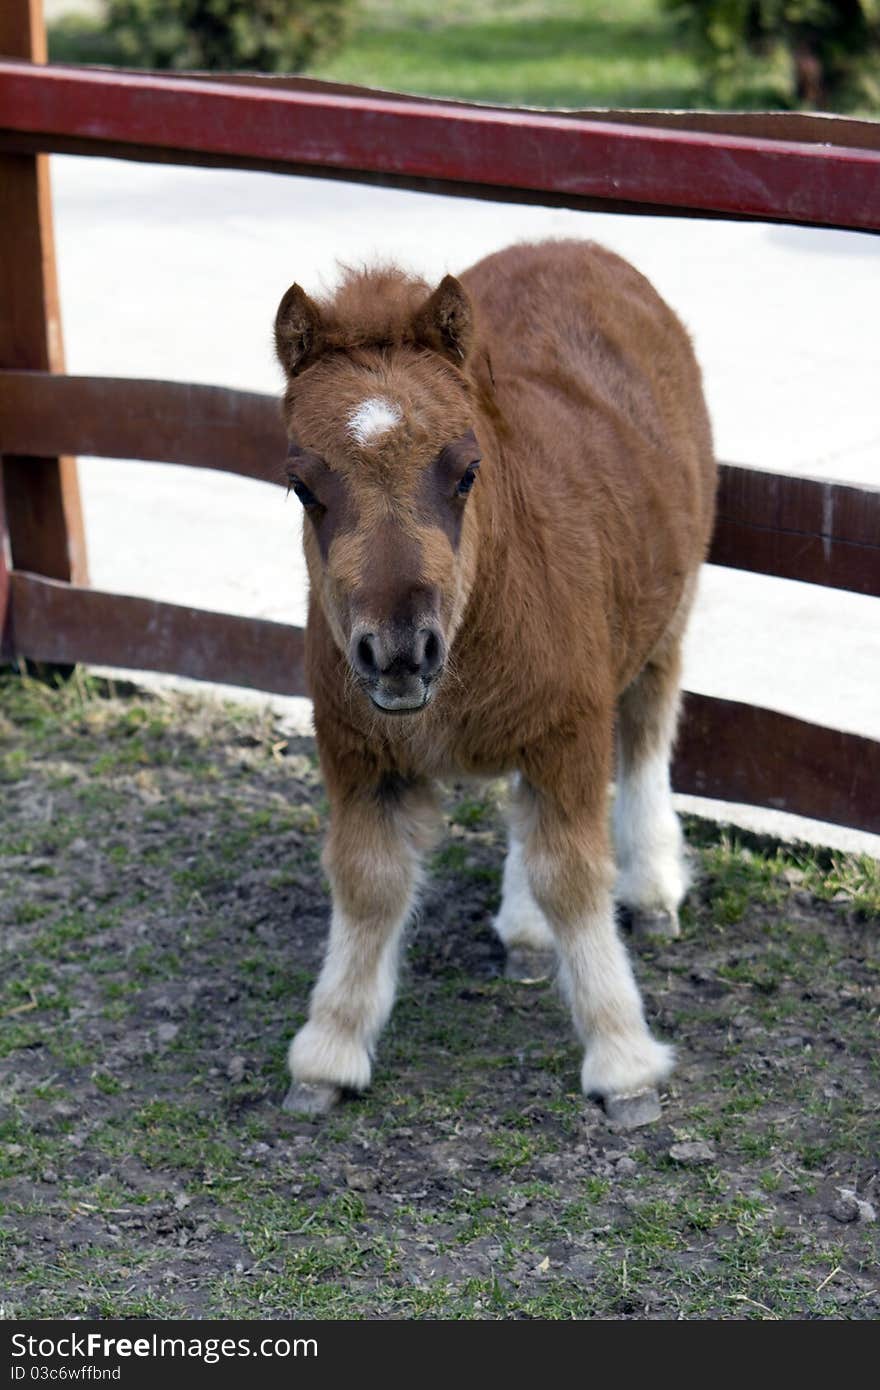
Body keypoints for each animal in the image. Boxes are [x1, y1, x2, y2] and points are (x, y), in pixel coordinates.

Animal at [272, 239, 711, 1128]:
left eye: (467, 470)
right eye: (304, 485)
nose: (399, 651)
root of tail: (578, 245)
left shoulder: (570, 725)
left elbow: (574, 875)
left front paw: (623, 1063)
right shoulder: (357, 746)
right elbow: (368, 880)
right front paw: (329, 1052)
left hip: (664, 619)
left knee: (648, 734)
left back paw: (652, 888)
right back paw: (526, 931)